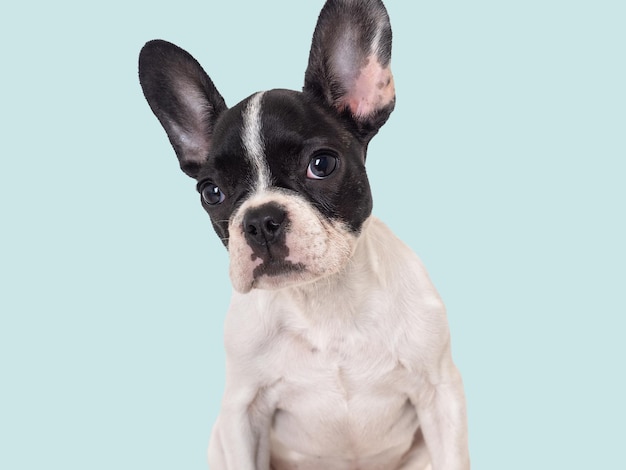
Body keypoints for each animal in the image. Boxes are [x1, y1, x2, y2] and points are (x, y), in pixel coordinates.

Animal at [138, 1, 468, 468]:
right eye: (211, 192)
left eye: (322, 164)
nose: (260, 220)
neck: (325, 303)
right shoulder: (241, 414)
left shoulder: (439, 394)